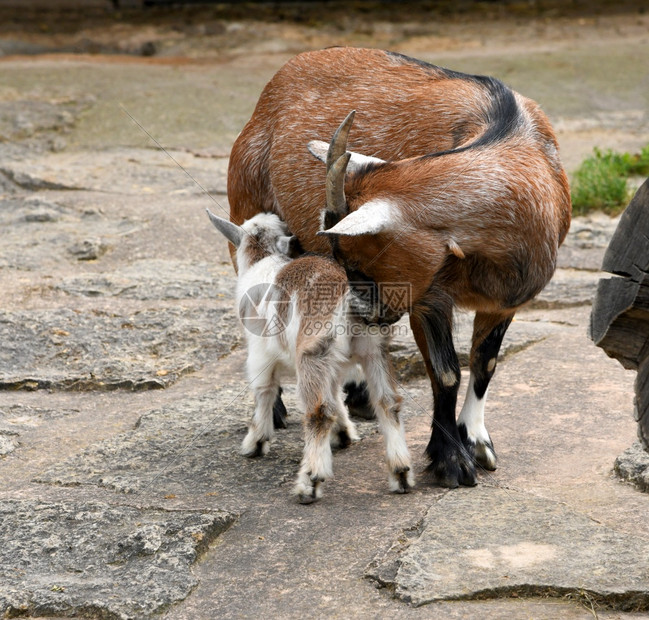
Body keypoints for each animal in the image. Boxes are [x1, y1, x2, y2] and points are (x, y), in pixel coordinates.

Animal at [225, 46, 568, 486]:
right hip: (243, 212)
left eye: (357, 260)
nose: (361, 313)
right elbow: (446, 373)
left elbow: (485, 364)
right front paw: (451, 461)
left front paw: (477, 442)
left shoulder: (505, 301)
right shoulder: (427, 296)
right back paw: (279, 408)